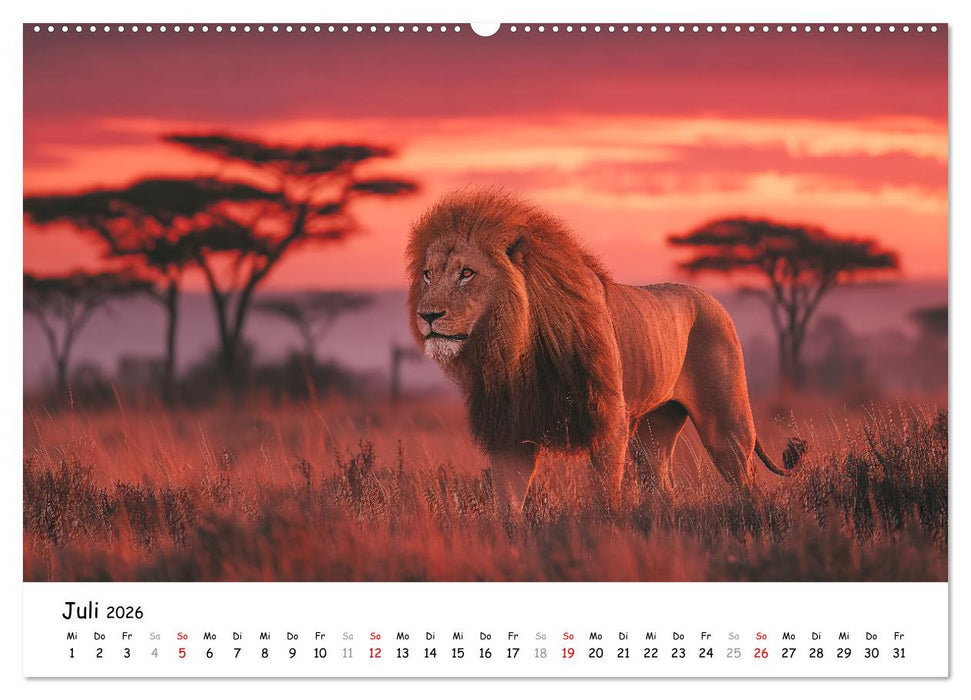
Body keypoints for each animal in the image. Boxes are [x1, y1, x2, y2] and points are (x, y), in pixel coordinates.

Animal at [406, 187, 806, 509]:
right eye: (428, 274)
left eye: (466, 273)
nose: (427, 315)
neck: (515, 348)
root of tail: (711, 298)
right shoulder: (509, 430)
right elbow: (508, 504)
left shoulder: (609, 423)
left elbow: (605, 497)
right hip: (653, 432)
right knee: (663, 485)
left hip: (727, 425)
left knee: (746, 484)